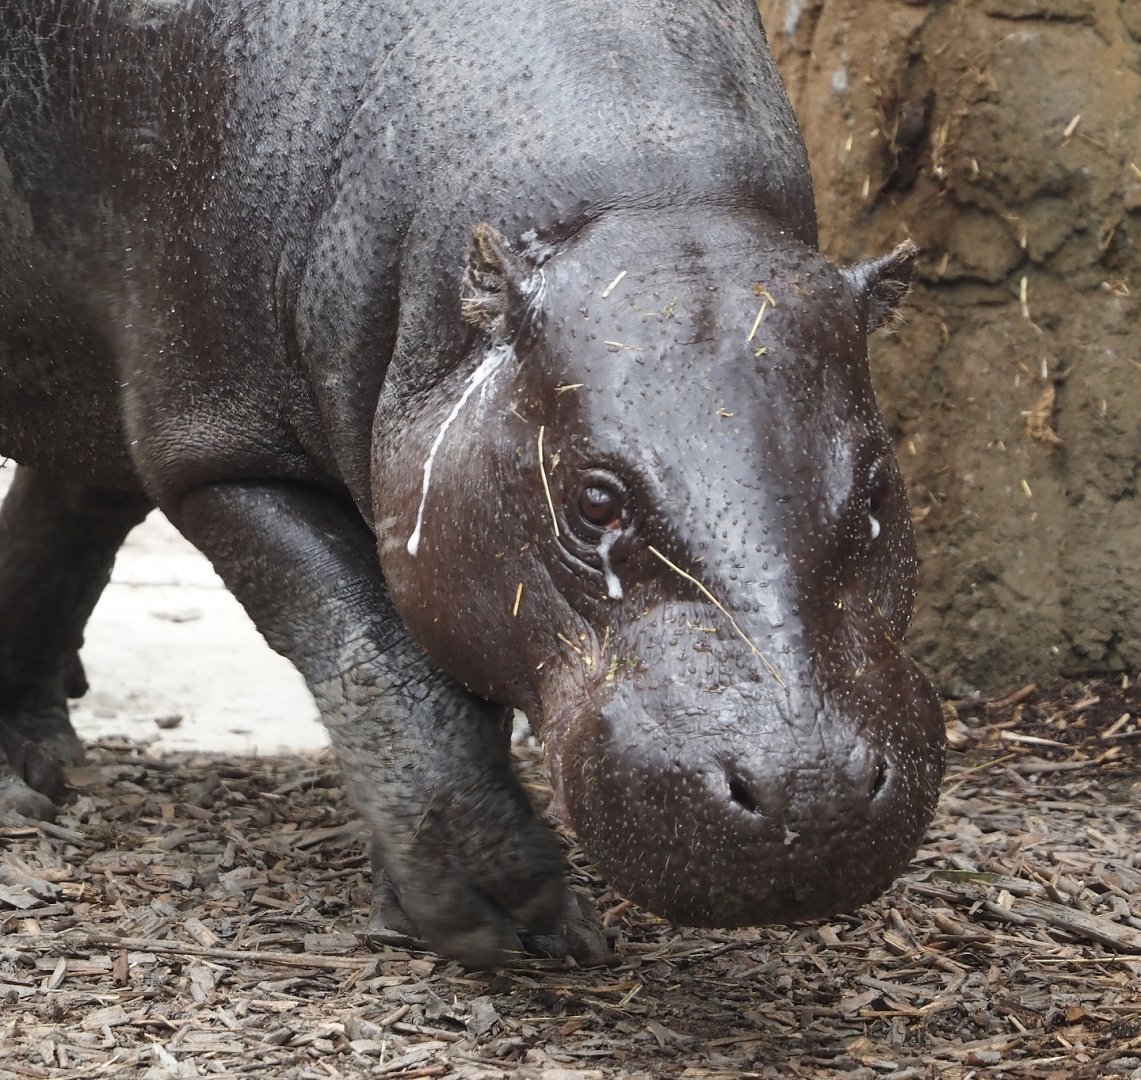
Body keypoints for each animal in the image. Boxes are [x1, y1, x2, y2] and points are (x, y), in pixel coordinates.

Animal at [0, 0, 946, 966]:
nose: (812, 793)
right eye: (593, 500)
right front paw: (501, 906)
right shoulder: (223, 453)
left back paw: (39, 761)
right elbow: (376, 658)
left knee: (69, 511)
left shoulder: (449, 517)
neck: (643, 209)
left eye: (879, 491)